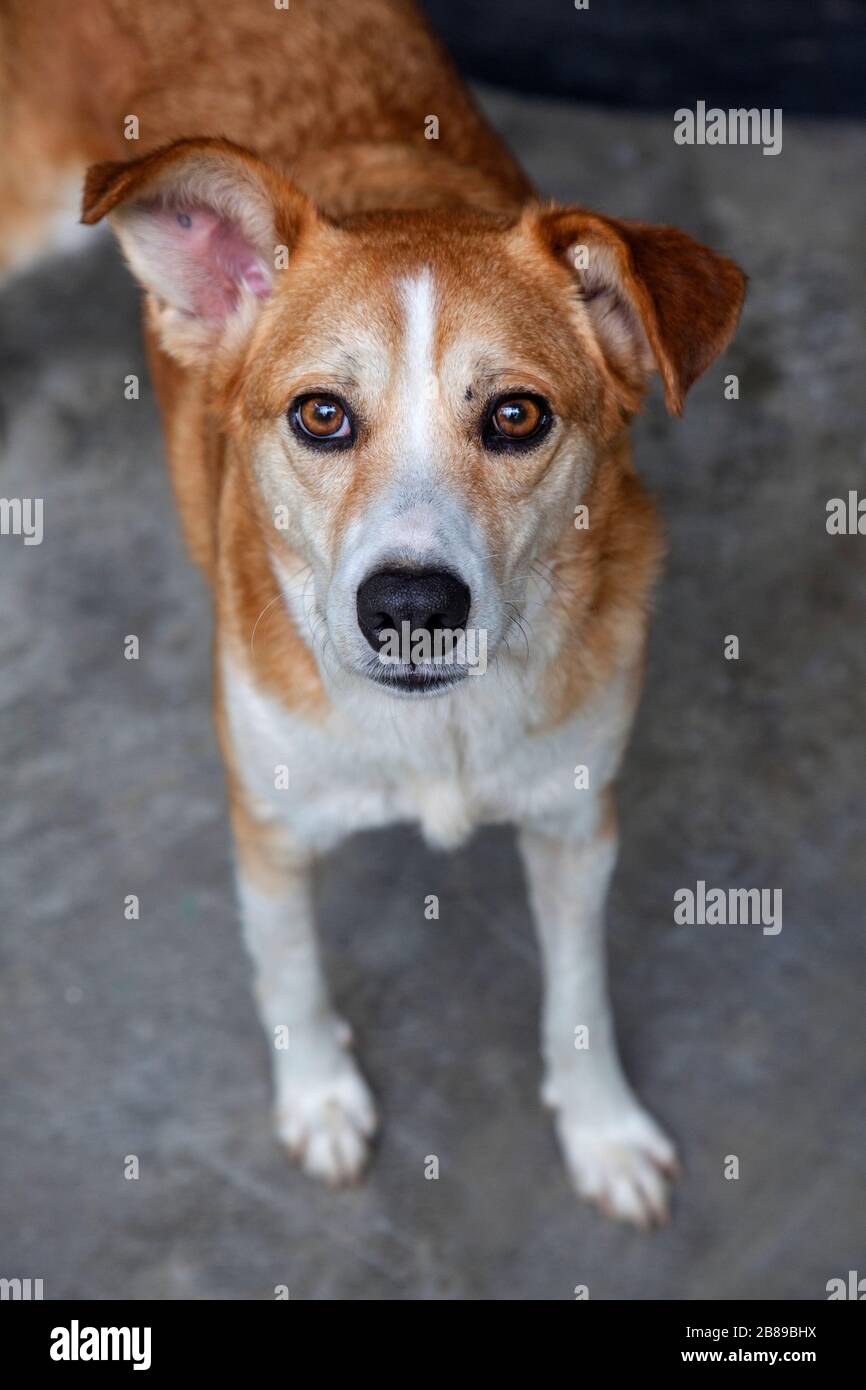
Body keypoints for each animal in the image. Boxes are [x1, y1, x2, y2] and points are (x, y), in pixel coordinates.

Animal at [0, 0, 745, 1228]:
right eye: (320, 415)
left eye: (515, 415)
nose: (410, 605)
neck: (433, 734)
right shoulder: (267, 827)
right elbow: (291, 977)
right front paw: (319, 1100)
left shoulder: (574, 821)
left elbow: (578, 995)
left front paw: (601, 1130)